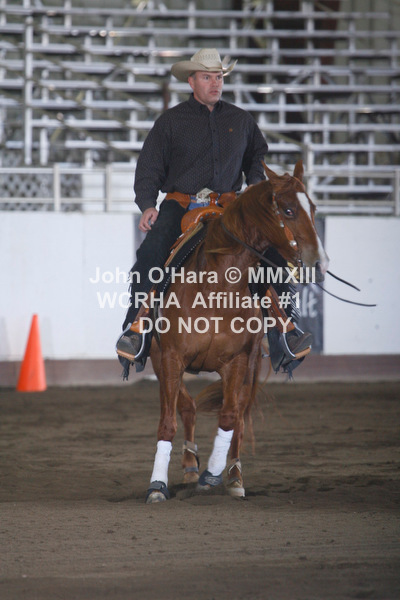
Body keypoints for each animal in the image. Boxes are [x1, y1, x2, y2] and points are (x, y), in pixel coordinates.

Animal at [145, 160, 329, 503]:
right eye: (287, 210)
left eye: (312, 207)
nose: (319, 264)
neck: (216, 287)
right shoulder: (169, 357)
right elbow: (169, 420)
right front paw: (158, 485)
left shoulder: (239, 361)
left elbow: (229, 418)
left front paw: (213, 475)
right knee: (188, 407)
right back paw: (190, 465)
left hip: (253, 366)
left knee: (239, 420)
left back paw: (232, 475)